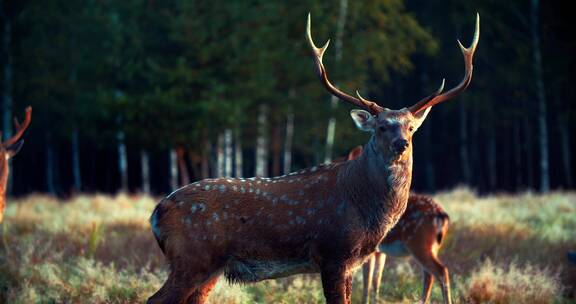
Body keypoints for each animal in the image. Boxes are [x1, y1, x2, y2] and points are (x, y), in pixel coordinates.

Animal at [340, 147, 452, 304]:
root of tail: (442, 216)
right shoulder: (379, 251)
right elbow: (376, 280)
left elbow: (367, 281)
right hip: (432, 246)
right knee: (429, 274)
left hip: (419, 243)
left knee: (441, 271)